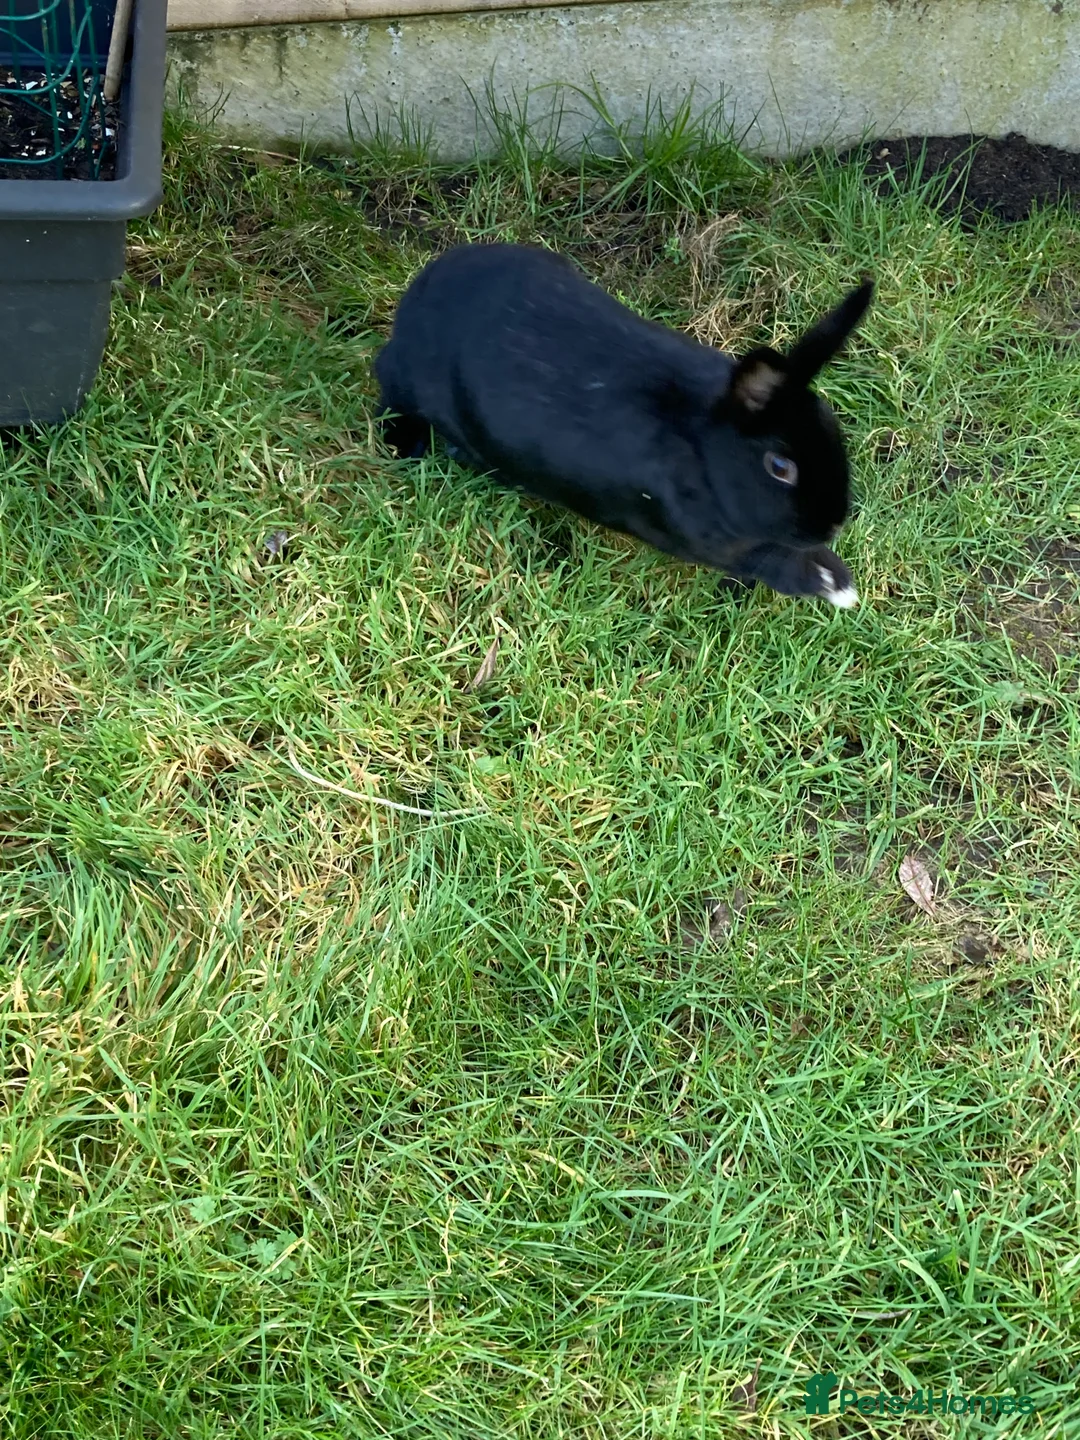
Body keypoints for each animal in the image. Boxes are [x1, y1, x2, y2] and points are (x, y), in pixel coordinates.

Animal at [374, 242, 872, 607]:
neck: (699, 446)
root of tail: (415, 300)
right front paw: (836, 584)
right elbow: (771, 563)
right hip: (410, 385)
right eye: (780, 468)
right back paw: (404, 444)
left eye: (831, 424)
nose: (832, 526)